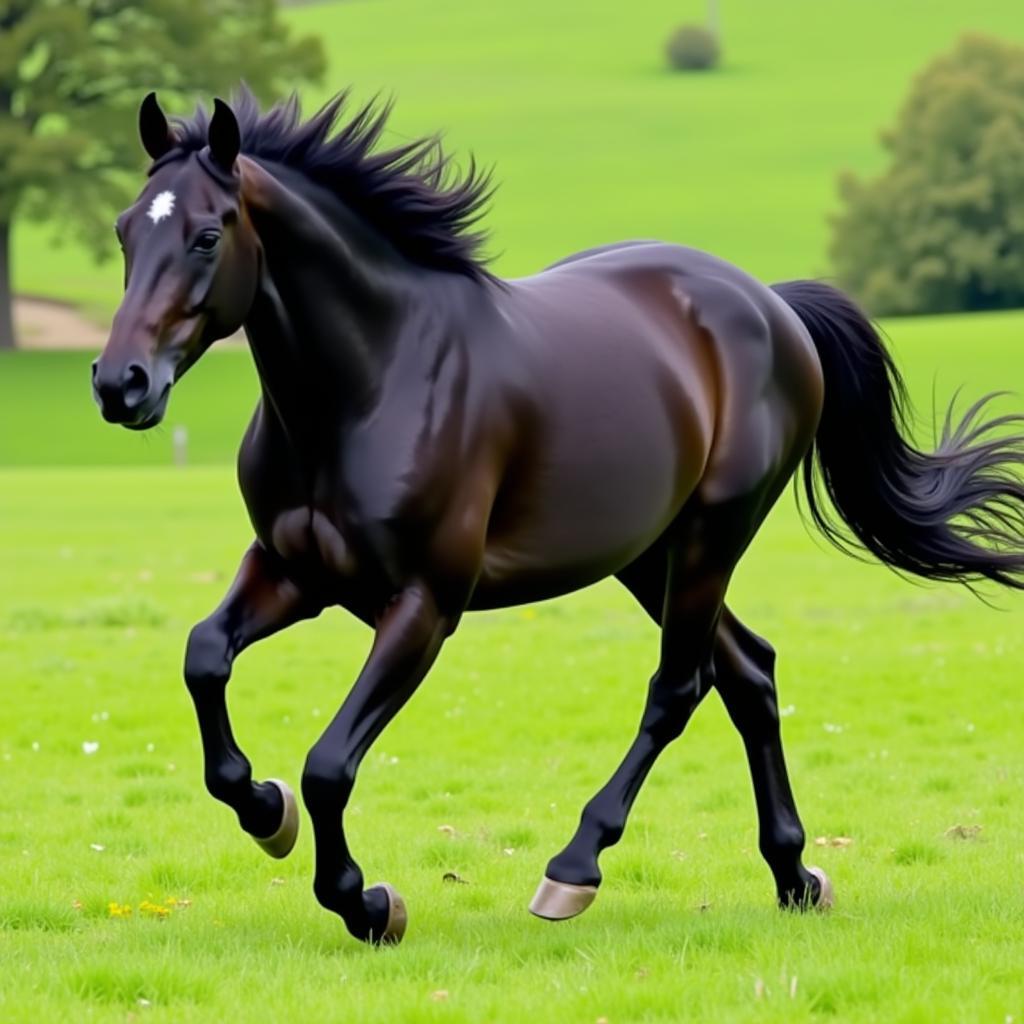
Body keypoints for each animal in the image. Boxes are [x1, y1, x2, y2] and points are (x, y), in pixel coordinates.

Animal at [92, 88, 1024, 942]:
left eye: (207, 236)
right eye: (126, 231)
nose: (119, 384)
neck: (370, 385)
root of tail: (772, 304)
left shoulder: (425, 604)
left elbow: (327, 766)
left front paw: (366, 902)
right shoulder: (294, 571)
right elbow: (204, 657)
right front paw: (265, 810)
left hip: (712, 535)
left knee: (680, 686)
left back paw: (573, 871)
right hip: (649, 554)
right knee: (748, 673)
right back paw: (795, 875)